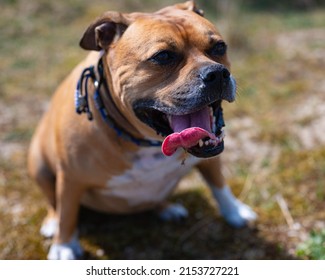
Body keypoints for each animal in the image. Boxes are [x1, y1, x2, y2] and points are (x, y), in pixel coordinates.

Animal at [27, 0, 256, 260]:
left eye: (219, 47)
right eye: (163, 56)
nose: (217, 73)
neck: (146, 142)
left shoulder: (211, 159)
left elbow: (219, 184)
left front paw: (235, 211)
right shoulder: (70, 178)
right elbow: (67, 211)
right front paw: (64, 245)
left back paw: (167, 208)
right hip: (38, 164)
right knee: (54, 202)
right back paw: (52, 223)